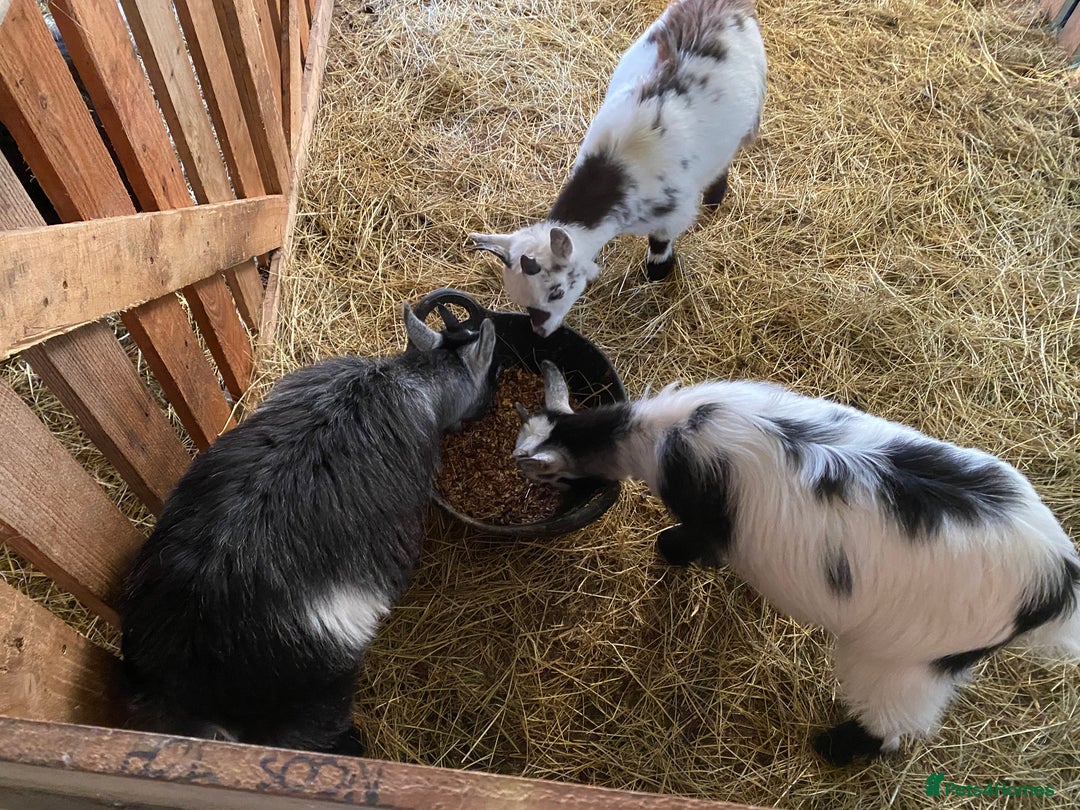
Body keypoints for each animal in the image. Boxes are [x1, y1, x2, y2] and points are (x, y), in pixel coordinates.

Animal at [471, 0, 766, 337]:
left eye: (556, 292)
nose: (541, 333)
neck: (616, 174)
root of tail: (727, 5)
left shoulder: (673, 215)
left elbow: (659, 245)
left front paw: (658, 274)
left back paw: (715, 200)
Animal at [514, 362, 1080, 765]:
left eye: (542, 476)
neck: (660, 434)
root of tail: (1055, 582)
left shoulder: (707, 521)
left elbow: (695, 545)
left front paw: (668, 551)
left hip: (908, 660)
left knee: (894, 722)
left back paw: (836, 749)